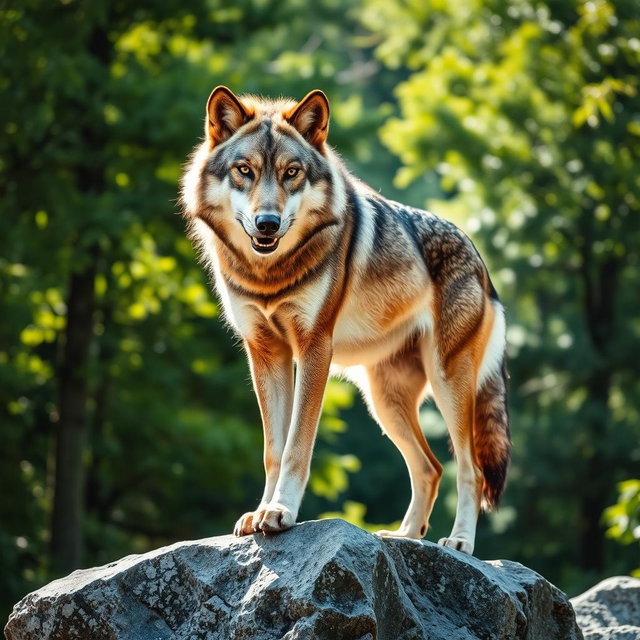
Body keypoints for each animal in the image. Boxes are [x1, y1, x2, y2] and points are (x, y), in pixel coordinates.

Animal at [180, 86, 510, 554]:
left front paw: (280, 513)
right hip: (383, 401)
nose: (268, 223)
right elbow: (273, 451)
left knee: (470, 469)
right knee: (430, 467)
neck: (269, 275)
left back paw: (459, 542)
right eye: (245, 170)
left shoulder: (314, 348)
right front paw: (259, 512)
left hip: (450, 385)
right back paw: (404, 536)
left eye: (292, 172)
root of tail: (480, 261)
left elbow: (297, 446)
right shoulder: (265, 353)